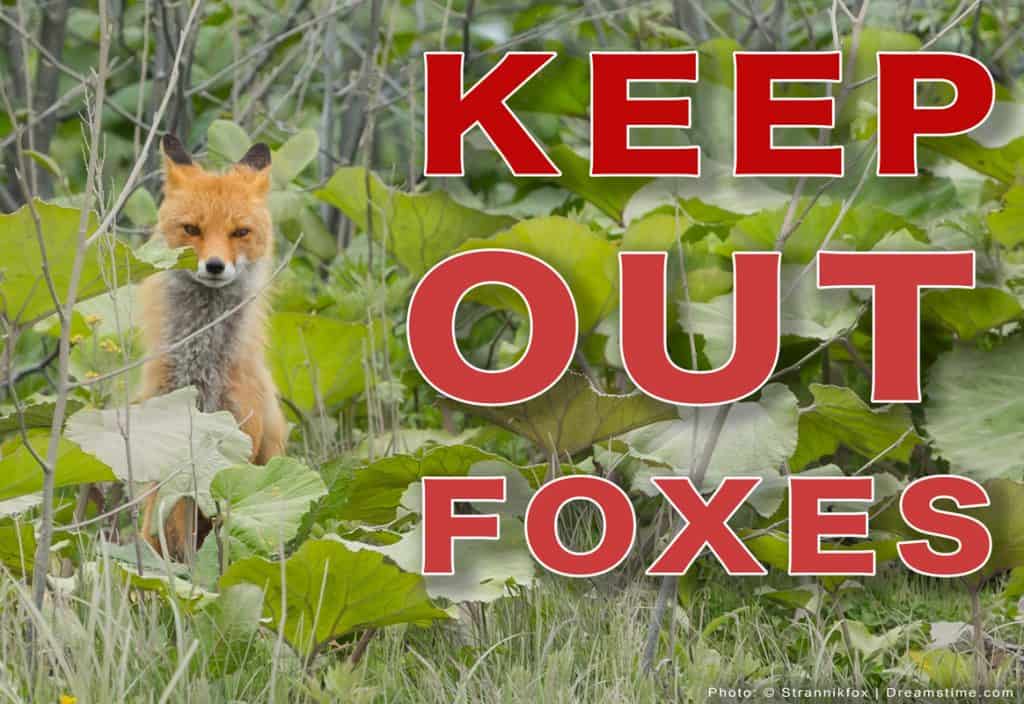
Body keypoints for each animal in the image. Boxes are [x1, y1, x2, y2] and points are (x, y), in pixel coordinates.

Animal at [137, 134, 287, 560]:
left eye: (240, 232)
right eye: (192, 229)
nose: (216, 266)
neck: (202, 375)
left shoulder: (238, 446)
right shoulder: (171, 452)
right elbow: (179, 527)